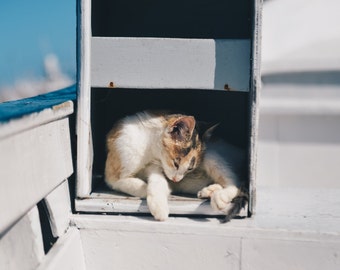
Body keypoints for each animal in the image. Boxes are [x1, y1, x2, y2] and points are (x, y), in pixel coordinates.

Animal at [104, 110, 247, 221]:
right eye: (176, 163)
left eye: (190, 168)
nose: (176, 180)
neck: (148, 149)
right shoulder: (113, 176)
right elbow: (137, 183)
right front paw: (158, 199)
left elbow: (154, 183)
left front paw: (159, 203)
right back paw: (209, 191)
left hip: (212, 156)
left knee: (235, 182)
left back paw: (219, 197)